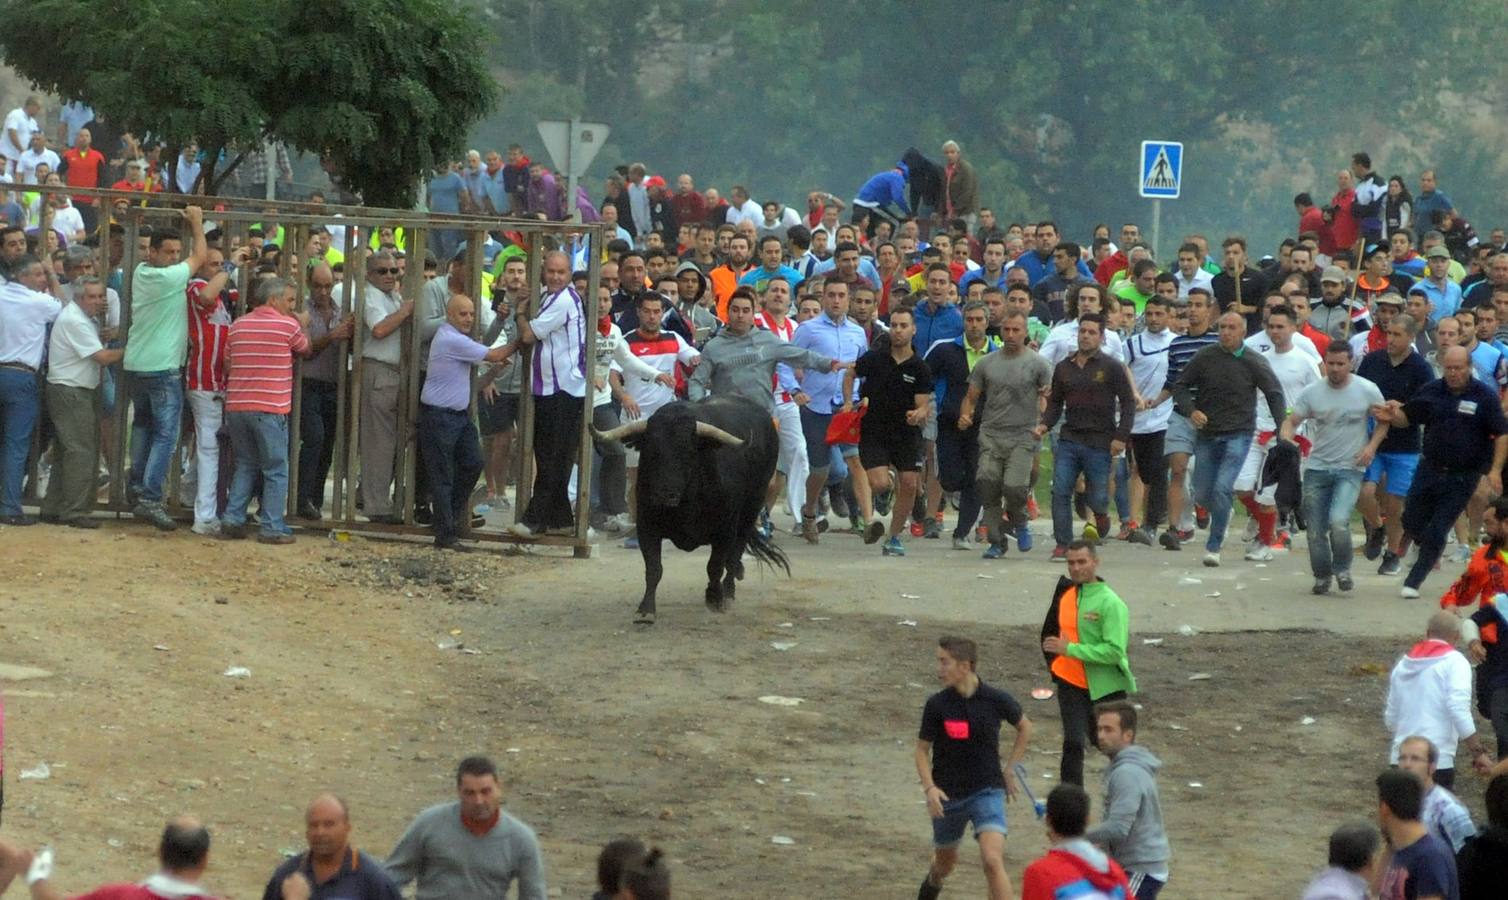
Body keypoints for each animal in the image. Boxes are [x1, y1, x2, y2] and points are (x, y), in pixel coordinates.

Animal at [594, 397, 796, 621]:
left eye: (688, 452)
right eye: (651, 450)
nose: (665, 494)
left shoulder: (725, 530)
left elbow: (715, 566)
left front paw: (714, 598)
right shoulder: (646, 526)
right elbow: (654, 569)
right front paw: (646, 609)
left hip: (751, 509)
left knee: (734, 555)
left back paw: (728, 593)